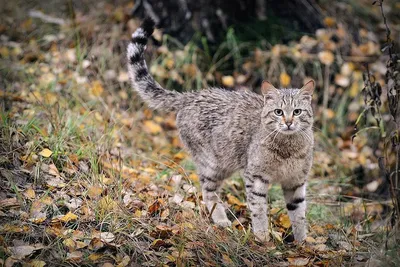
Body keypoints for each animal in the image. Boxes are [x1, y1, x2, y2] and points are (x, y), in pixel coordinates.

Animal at [126, 16, 314, 243]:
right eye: (278, 112)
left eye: (297, 111)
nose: (287, 122)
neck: (288, 148)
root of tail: (191, 95)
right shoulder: (255, 177)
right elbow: (259, 209)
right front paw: (262, 236)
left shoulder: (296, 183)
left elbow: (299, 215)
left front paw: (303, 242)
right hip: (214, 164)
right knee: (208, 191)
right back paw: (221, 219)